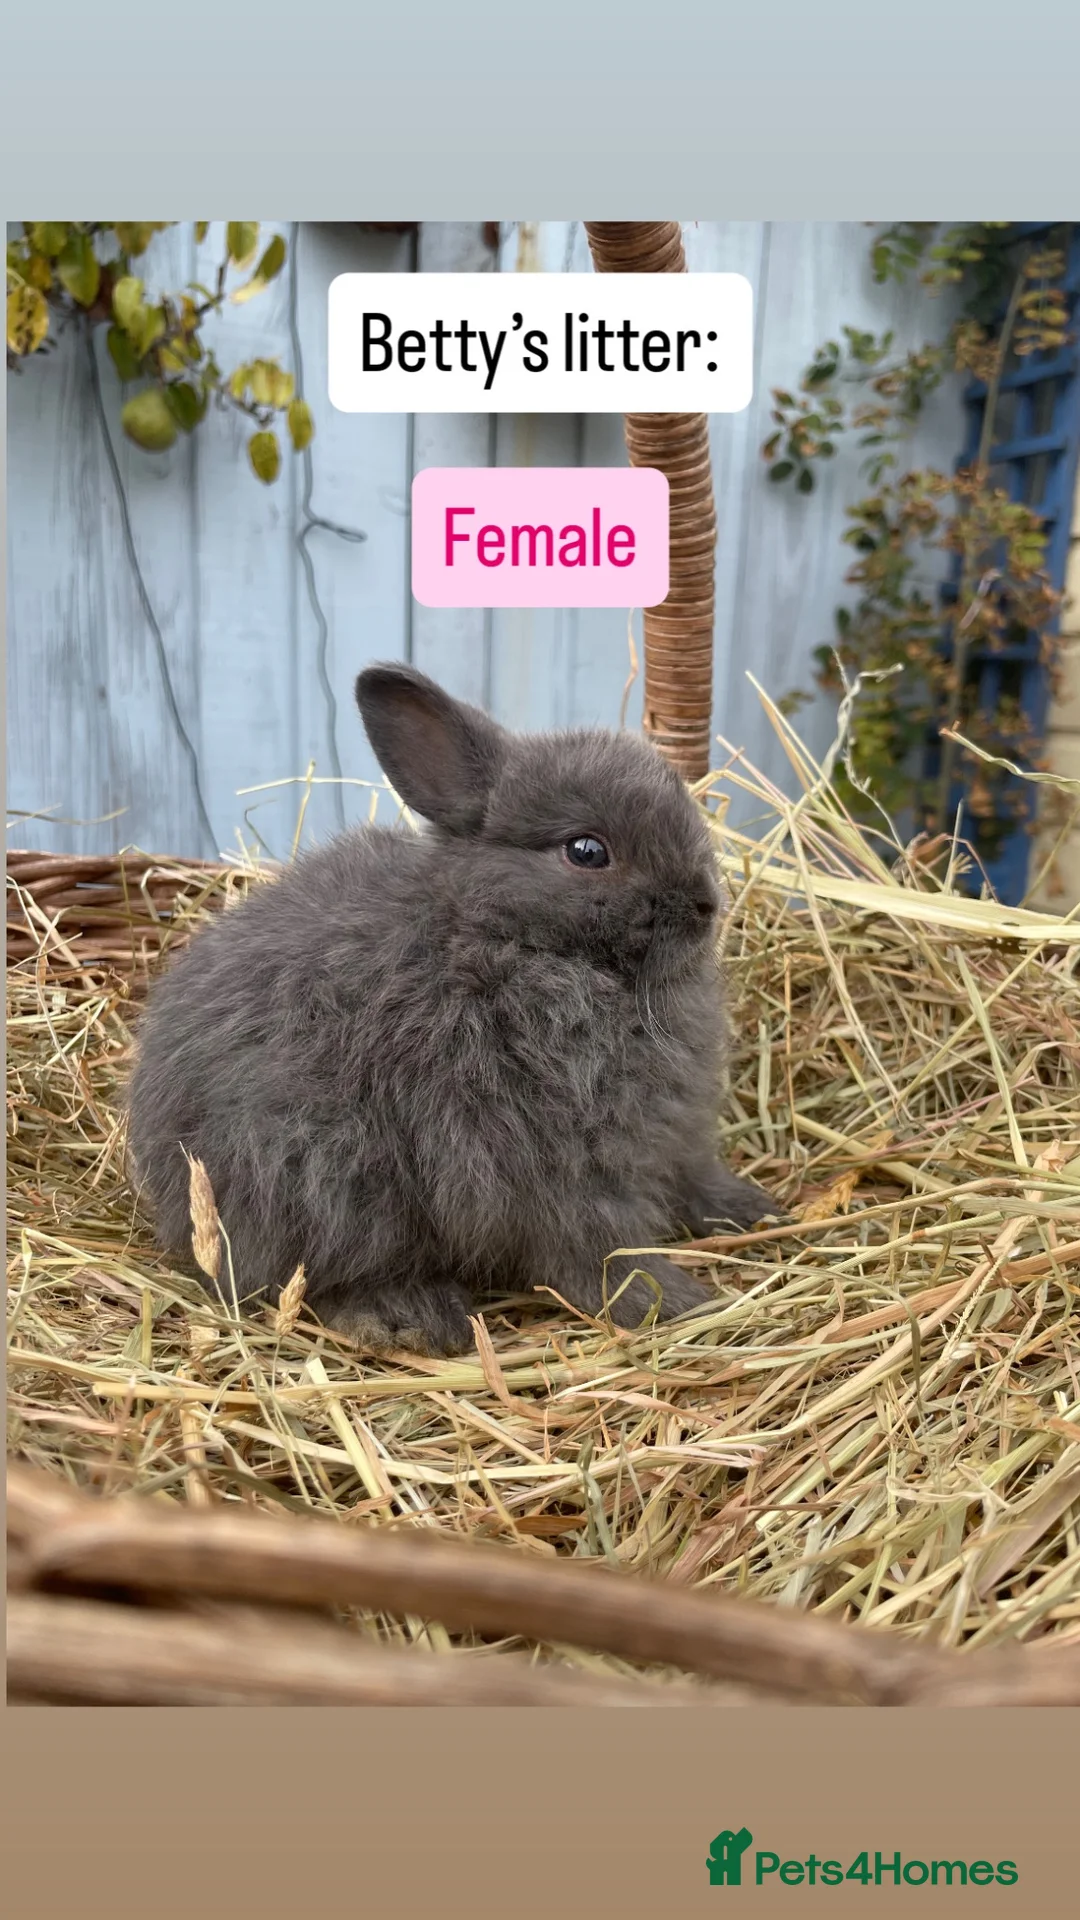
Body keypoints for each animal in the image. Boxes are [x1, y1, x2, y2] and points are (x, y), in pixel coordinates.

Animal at [127, 664, 775, 1356]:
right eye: (587, 851)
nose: (705, 904)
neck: (505, 933)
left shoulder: (673, 1141)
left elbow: (693, 1179)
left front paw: (753, 1209)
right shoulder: (556, 1163)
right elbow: (600, 1249)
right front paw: (673, 1301)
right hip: (331, 1187)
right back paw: (416, 1316)